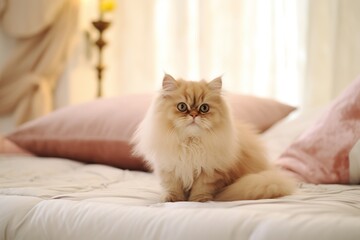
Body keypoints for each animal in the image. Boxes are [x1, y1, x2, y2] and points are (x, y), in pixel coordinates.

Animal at [132, 74, 296, 202]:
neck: (191, 142)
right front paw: (172, 199)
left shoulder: (209, 171)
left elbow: (201, 188)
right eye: (182, 107)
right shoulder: (170, 167)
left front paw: (198, 200)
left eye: (204, 108)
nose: (194, 114)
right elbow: (172, 186)